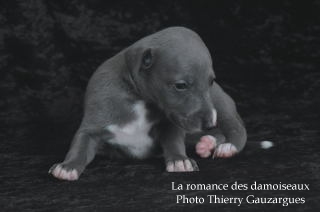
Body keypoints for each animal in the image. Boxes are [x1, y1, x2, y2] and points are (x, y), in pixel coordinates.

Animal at [48, 26, 246, 181]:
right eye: (180, 85)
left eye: (211, 81)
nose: (209, 124)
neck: (138, 98)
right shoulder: (95, 120)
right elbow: (81, 144)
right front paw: (67, 166)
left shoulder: (170, 124)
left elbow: (174, 140)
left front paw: (180, 160)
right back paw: (206, 143)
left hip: (221, 104)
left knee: (237, 128)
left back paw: (227, 146)